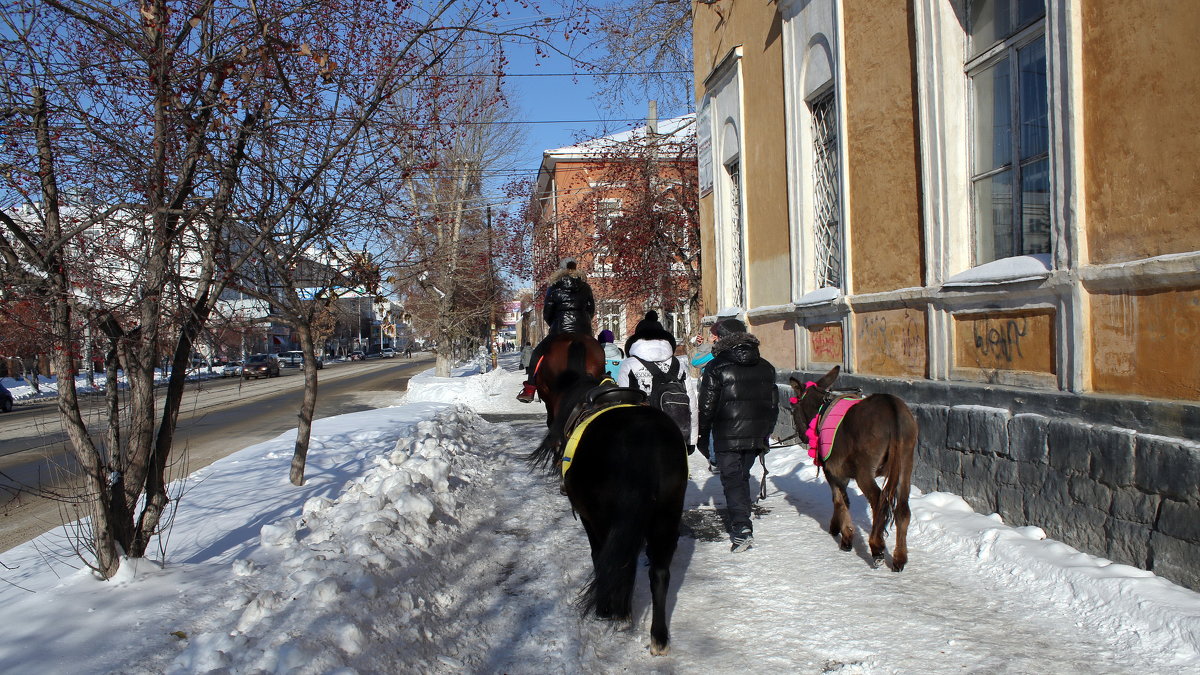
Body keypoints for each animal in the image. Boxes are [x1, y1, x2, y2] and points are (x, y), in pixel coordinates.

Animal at [528, 341, 686, 653]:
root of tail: (645, 439)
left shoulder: (590, 517)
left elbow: (599, 555)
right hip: (667, 515)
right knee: (659, 573)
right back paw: (658, 637)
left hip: (608, 517)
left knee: (618, 563)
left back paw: (618, 613)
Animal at [787, 365, 916, 569]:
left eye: (793, 410)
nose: (802, 436)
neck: (820, 410)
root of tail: (891, 408)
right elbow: (842, 500)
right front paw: (836, 527)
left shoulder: (831, 471)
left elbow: (840, 500)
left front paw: (846, 536)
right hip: (906, 463)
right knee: (902, 509)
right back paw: (899, 558)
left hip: (865, 471)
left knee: (878, 501)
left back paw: (877, 547)